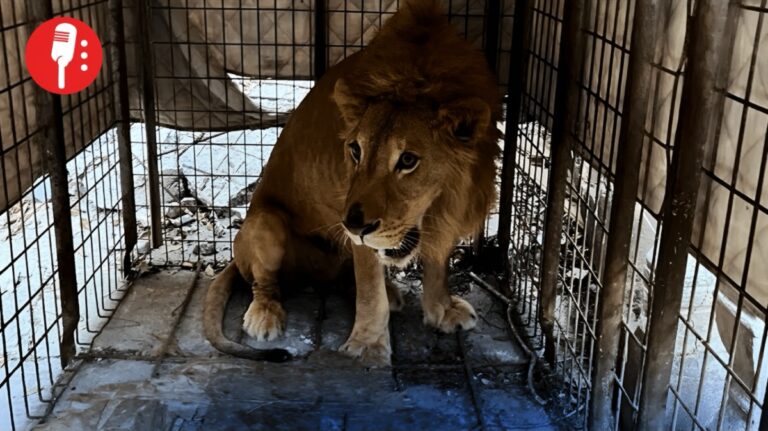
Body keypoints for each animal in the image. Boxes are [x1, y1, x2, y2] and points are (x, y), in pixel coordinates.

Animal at [203, 0, 501, 366]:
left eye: (407, 160)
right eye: (355, 150)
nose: (354, 226)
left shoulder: (448, 212)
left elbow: (437, 264)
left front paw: (442, 310)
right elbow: (370, 291)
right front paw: (369, 345)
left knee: (345, 279)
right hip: (266, 222)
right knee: (265, 282)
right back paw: (265, 317)